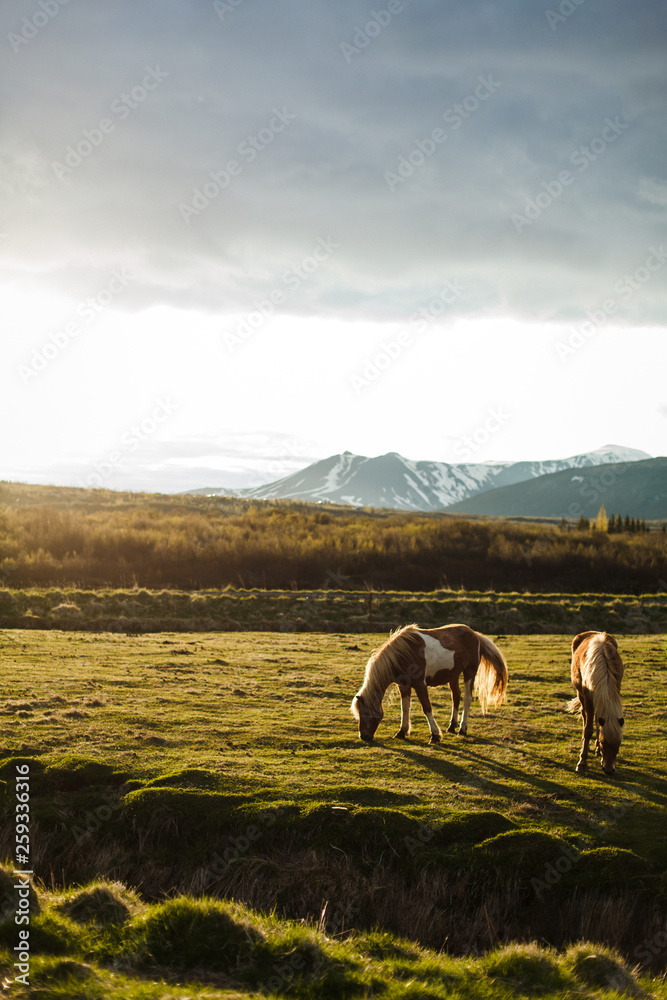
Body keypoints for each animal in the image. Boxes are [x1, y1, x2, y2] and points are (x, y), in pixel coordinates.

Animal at [350, 623, 508, 743]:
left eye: (366, 713)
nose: (364, 736)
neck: (403, 655)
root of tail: (475, 634)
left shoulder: (420, 684)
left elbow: (426, 708)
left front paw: (435, 735)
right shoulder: (404, 685)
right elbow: (405, 708)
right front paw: (402, 732)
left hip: (470, 671)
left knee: (467, 699)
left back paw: (462, 730)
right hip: (453, 675)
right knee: (456, 696)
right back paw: (452, 727)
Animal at [568, 630, 624, 775]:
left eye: (618, 744)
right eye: (604, 742)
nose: (609, 770)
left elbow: (599, 724)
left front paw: (598, 750)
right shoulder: (588, 698)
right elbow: (588, 730)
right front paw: (582, 762)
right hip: (581, 695)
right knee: (585, 716)